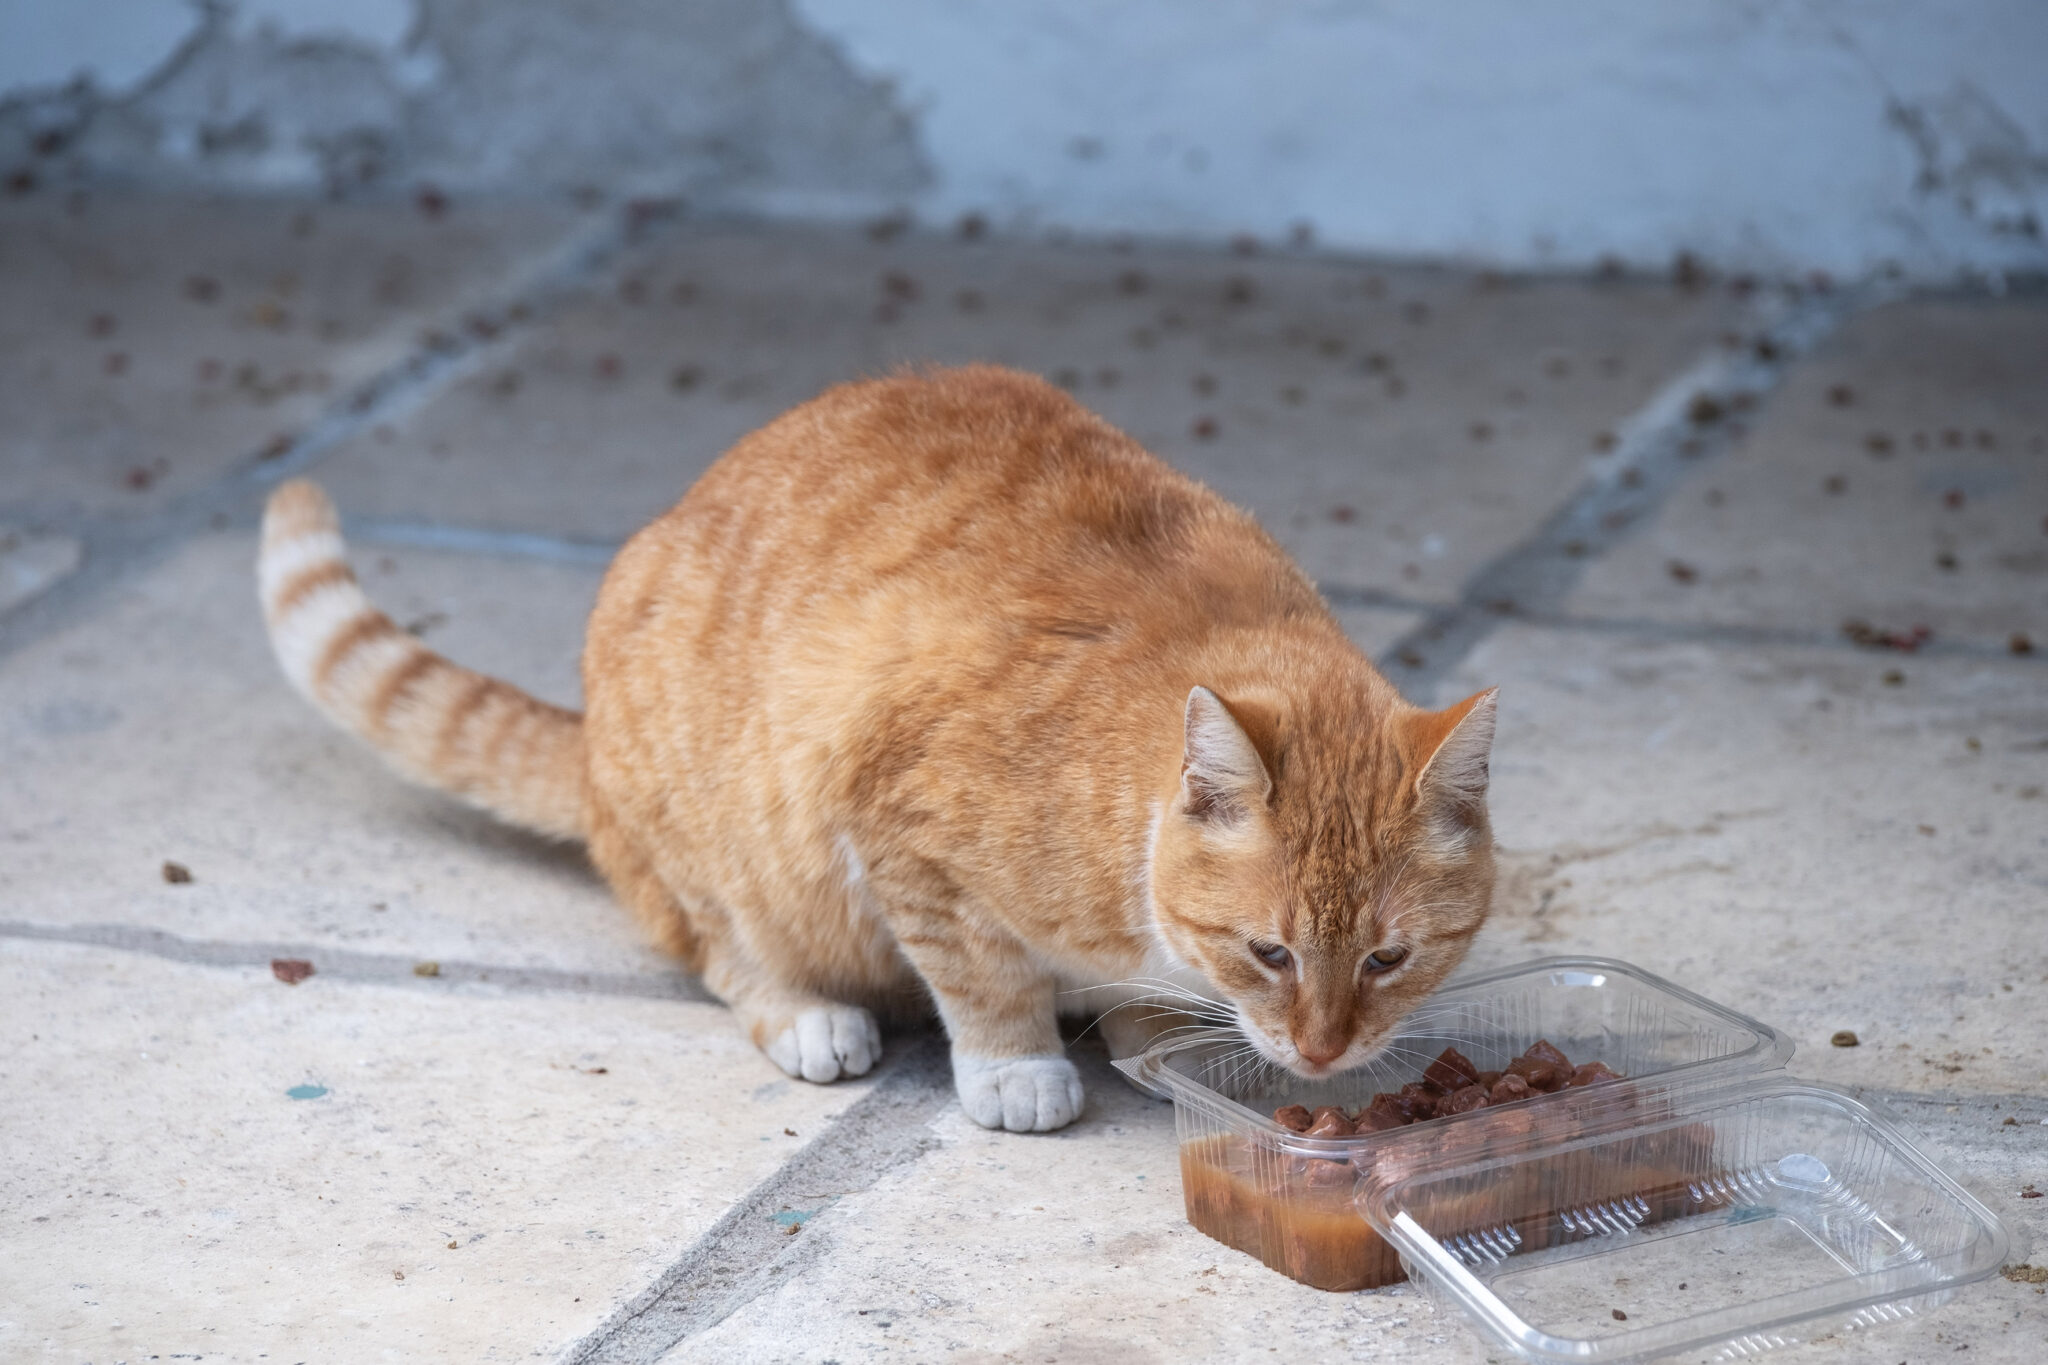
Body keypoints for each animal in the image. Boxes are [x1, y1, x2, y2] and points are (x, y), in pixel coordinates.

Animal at [264, 360, 1499, 1129]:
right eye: (1270, 953)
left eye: (1388, 959)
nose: (1325, 1055)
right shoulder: (905, 832)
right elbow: (982, 972)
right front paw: (1017, 1067)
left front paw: (1155, 1033)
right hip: (724, 853)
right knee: (722, 948)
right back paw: (809, 1015)